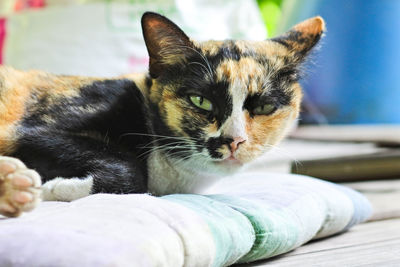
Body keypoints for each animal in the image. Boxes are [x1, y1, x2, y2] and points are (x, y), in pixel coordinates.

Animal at [0, 12, 324, 218]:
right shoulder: (35, 131)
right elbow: (131, 171)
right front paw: (58, 188)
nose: (234, 141)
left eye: (264, 107)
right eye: (200, 101)